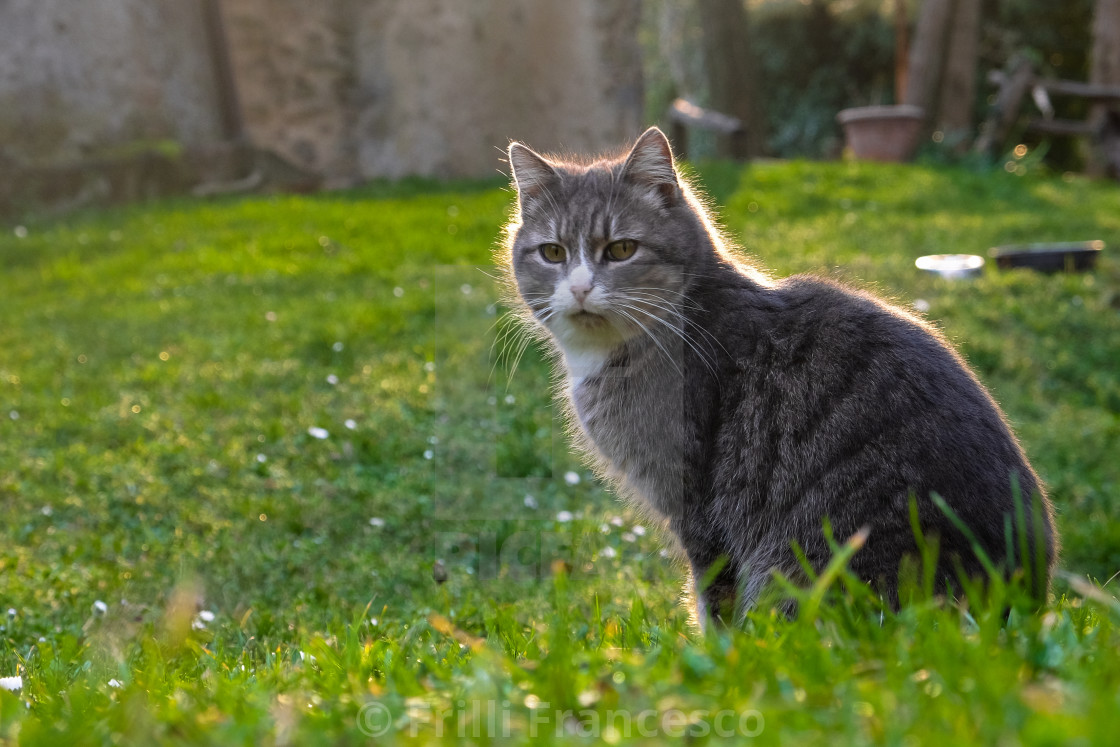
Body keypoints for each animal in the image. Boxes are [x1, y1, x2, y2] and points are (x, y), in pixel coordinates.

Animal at [504, 128, 1052, 627]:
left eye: (621, 249)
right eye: (553, 253)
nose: (579, 288)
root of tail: (1014, 604)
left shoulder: (698, 510)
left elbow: (713, 600)